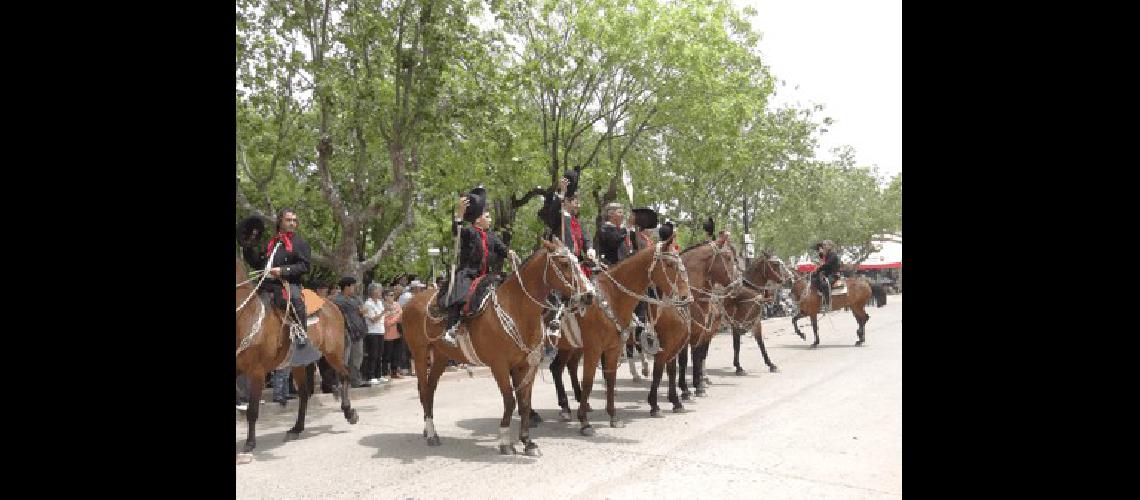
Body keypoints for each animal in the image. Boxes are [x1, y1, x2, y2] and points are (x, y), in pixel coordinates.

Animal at [239, 256, 360, 455]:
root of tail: (332, 303)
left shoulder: (257, 372)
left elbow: (253, 410)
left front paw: (250, 443)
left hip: (333, 354)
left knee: (344, 375)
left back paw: (349, 413)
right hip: (298, 364)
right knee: (304, 393)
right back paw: (296, 428)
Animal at [399, 239, 592, 457]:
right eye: (564, 263)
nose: (589, 295)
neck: (517, 309)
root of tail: (412, 302)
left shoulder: (527, 365)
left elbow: (524, 403)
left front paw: (528, 442)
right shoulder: (499, 365)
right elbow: (510, 400)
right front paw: (505, 442)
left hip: (440, 356)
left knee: (430, 390)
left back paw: (429, 429)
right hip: (420, 353)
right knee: (424, 389)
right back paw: (431, 434)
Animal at [547, 234, 688, 435]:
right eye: (669, 264)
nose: (685, 297)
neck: (611, 298)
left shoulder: (614, 348)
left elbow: (611, 378)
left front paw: (613, 416)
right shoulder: (595, 349)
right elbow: (589, 380)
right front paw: (584, 422)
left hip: (571, 347)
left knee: (562, 368)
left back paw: (572, 405)